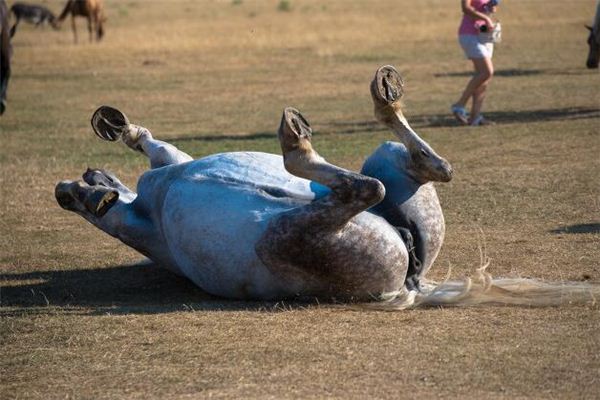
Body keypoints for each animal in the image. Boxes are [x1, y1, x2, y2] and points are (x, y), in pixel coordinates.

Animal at [56, 65, 452, 304]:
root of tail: (412, 281)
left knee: (408, 174)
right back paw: (306, 134)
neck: (147, 203)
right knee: (386, 181)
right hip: (282, 239)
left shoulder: (170, 164)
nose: (63, 189)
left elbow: (151, 144)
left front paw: (122, 130)